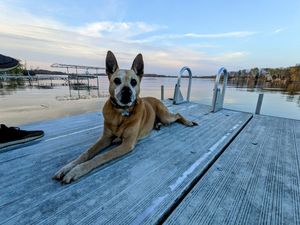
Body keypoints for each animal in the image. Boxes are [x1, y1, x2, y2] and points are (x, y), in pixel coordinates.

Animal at [52, 51, 198, 185]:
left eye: (134, 82)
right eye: (117, 80)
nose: (127, 91)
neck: (121, 113)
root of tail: (155, 98)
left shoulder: (127, 144)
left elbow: (100, 157)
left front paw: (77, 170)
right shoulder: (105, 138)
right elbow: (87, 153)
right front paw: (68, 167)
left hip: (165, 115)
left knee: (177, 115)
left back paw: (188, 122)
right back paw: (157, 125)